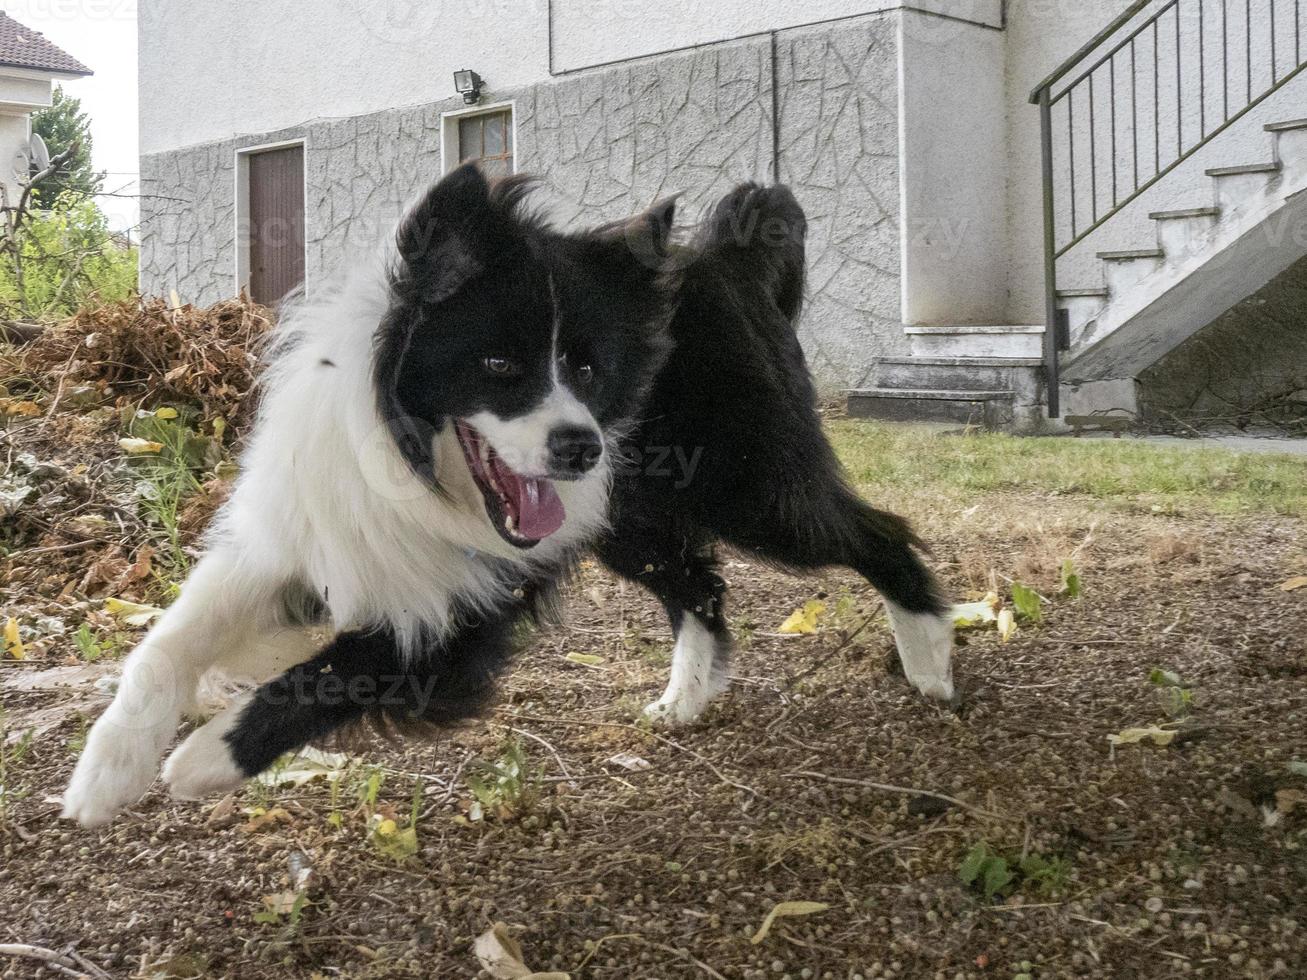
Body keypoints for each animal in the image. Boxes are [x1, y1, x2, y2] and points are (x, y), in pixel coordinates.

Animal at [58, 167, 951, 831]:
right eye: (496, 365)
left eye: (586, 369)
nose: (581, 445)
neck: (409, 463)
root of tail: (726, 261)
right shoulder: (299, 537)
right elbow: (166, 646)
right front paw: (107, 772)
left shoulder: (458, 619)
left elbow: (333, 674)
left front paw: (204, 758)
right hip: (627, 520)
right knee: (698, 584)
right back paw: (686, 697)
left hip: (748, 487)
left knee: (877, 535)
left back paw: (931, 662)